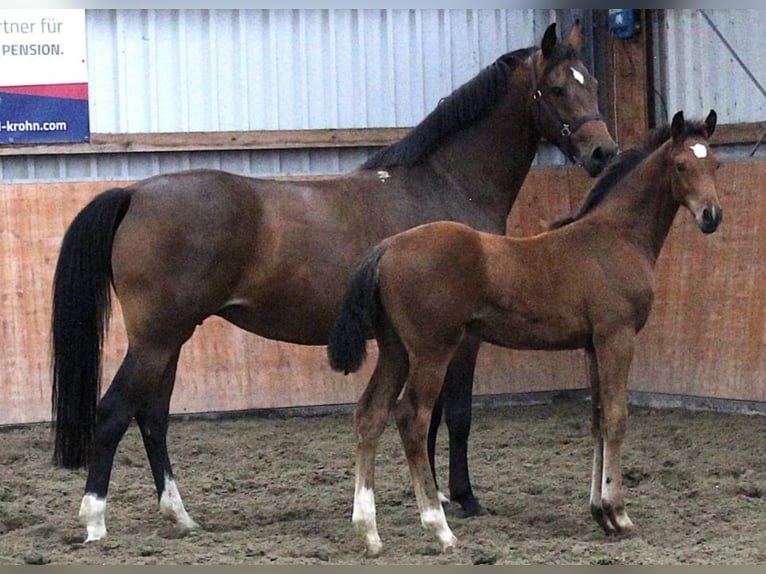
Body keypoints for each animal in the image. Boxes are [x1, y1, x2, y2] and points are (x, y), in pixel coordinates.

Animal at [51, 22, 617, 542]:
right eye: (557, 88)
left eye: (592, 83)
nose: (603, 153)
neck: (447, 183)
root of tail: (135, 193)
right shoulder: (461, 339)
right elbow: (453, 415)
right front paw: (461, 498)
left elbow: (429, 418)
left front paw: (430, 497)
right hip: (157, 338)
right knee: (114, 412)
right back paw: (95, 521)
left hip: (170, 339)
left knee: (152, 417)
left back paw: (181, 517)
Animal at [327, 109, 721, 556]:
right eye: (681, 165)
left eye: (715, 164)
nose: (712, 216)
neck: (616, 236)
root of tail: (387, 247)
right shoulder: (616, 337)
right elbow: (617, 418)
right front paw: (619, 514)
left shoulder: (591, 346)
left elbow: (597, 420)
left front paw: (600, 513)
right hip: (431, 350)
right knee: (412, 418)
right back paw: (440, 528)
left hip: (396, 350)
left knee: (370, 413)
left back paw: (370, 532)